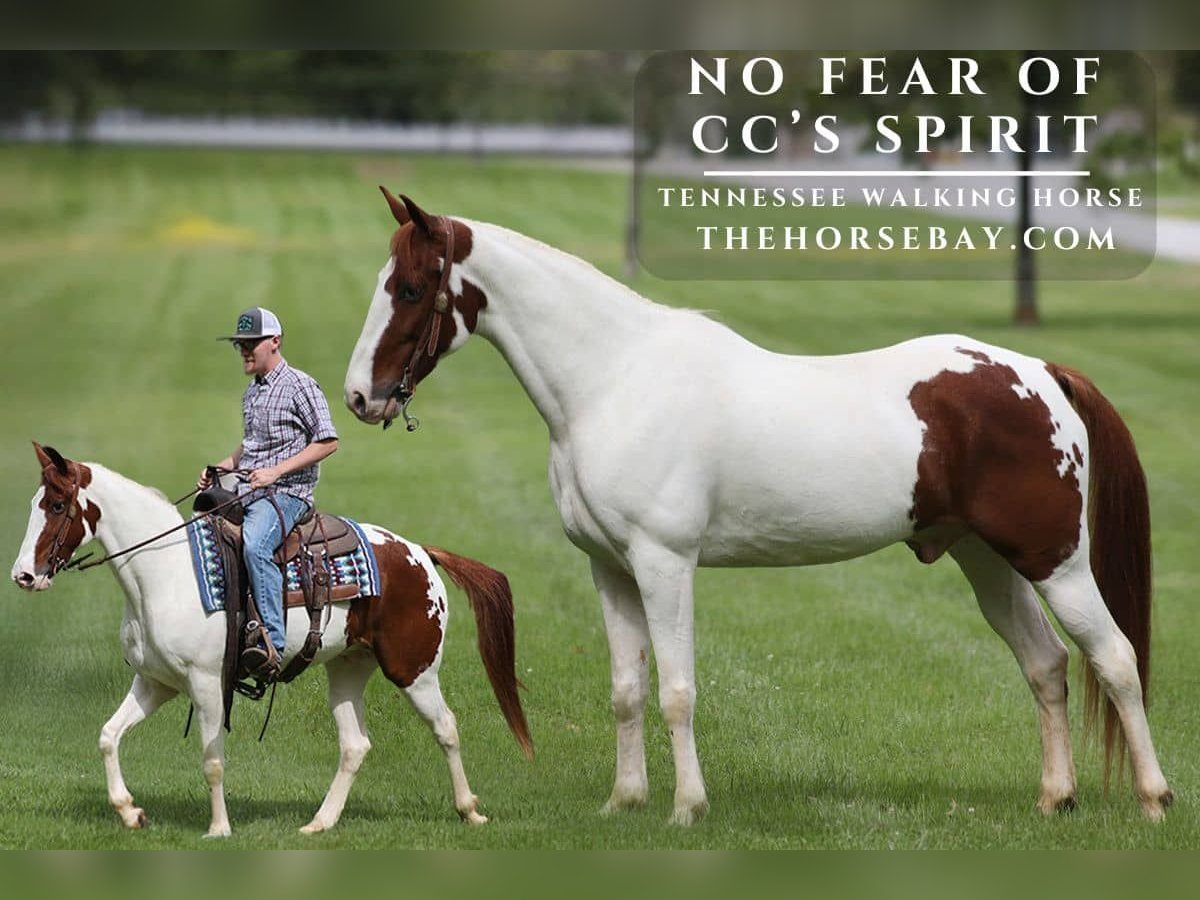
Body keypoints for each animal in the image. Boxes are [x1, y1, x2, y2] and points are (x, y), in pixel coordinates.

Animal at [10, 443, 532, 837]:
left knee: (446, 727)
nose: (23, 575)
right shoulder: (155, 682)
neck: (165, 571)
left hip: (414, 670)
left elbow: (212, 759)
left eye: (57, 505)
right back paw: (319, 823)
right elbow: (108, 735)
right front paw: (130, 811)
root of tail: (421, 551)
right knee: (355, 745)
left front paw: (219, 829)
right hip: (348, 668)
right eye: (35, 504)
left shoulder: (206, 684)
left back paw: (470, 810)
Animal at [341, 188, 1172, 825]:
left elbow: (676, 692)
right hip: (986, 561)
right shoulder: (610, 569)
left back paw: (1154, 799)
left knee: (1115, 660)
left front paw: (687, 809)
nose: (359, 396)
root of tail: (1042, 372)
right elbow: (626, 691)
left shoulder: (664, 564)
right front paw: (625, 802)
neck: (615, 378)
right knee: (1046, 663)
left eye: (409, 289)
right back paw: (1056, 798)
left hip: (1056, 561)